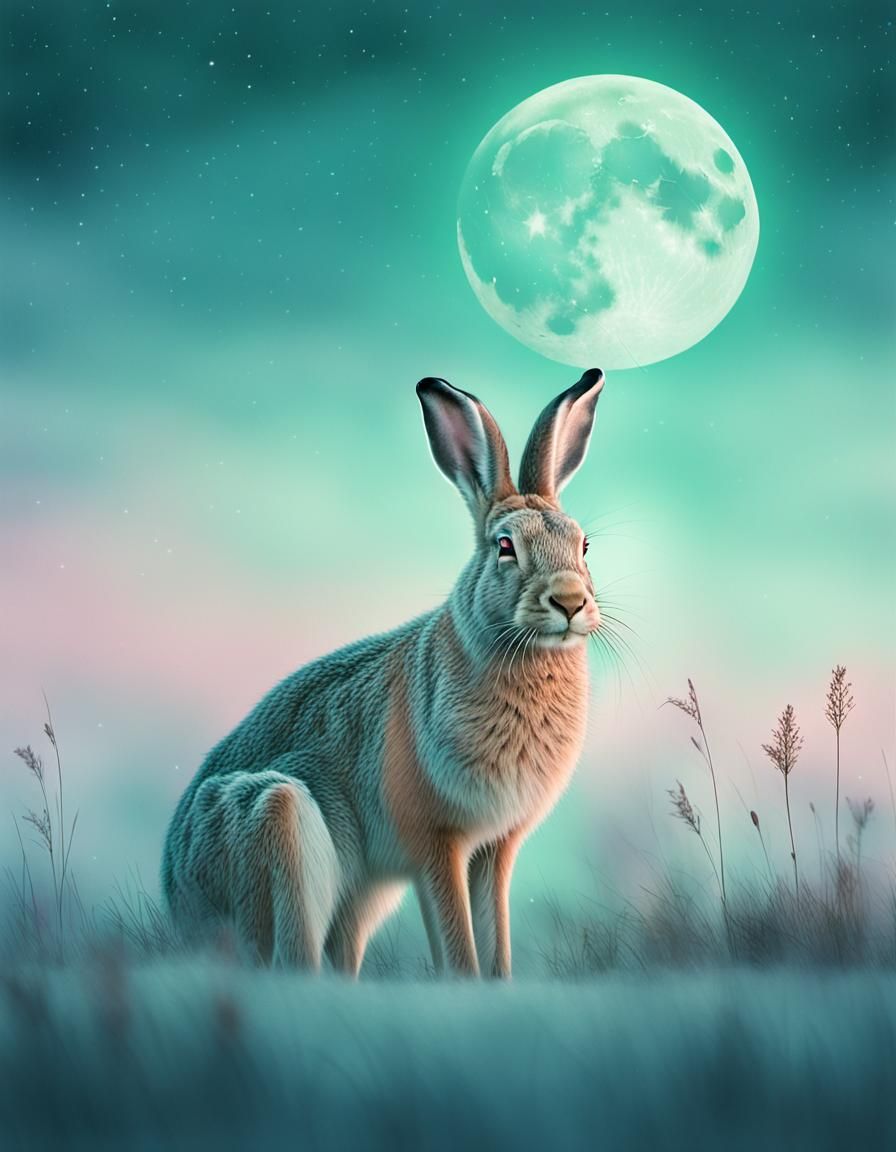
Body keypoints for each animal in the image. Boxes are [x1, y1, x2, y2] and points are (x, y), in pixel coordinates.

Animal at [161, 367, 605, 977]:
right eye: (505, 547)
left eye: (584, 545)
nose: (569, 601)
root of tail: (175, 892)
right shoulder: (435, 841)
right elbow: (459, 950)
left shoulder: (495, 849)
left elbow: (495, 945)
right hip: (275, 825)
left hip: (357, 894)